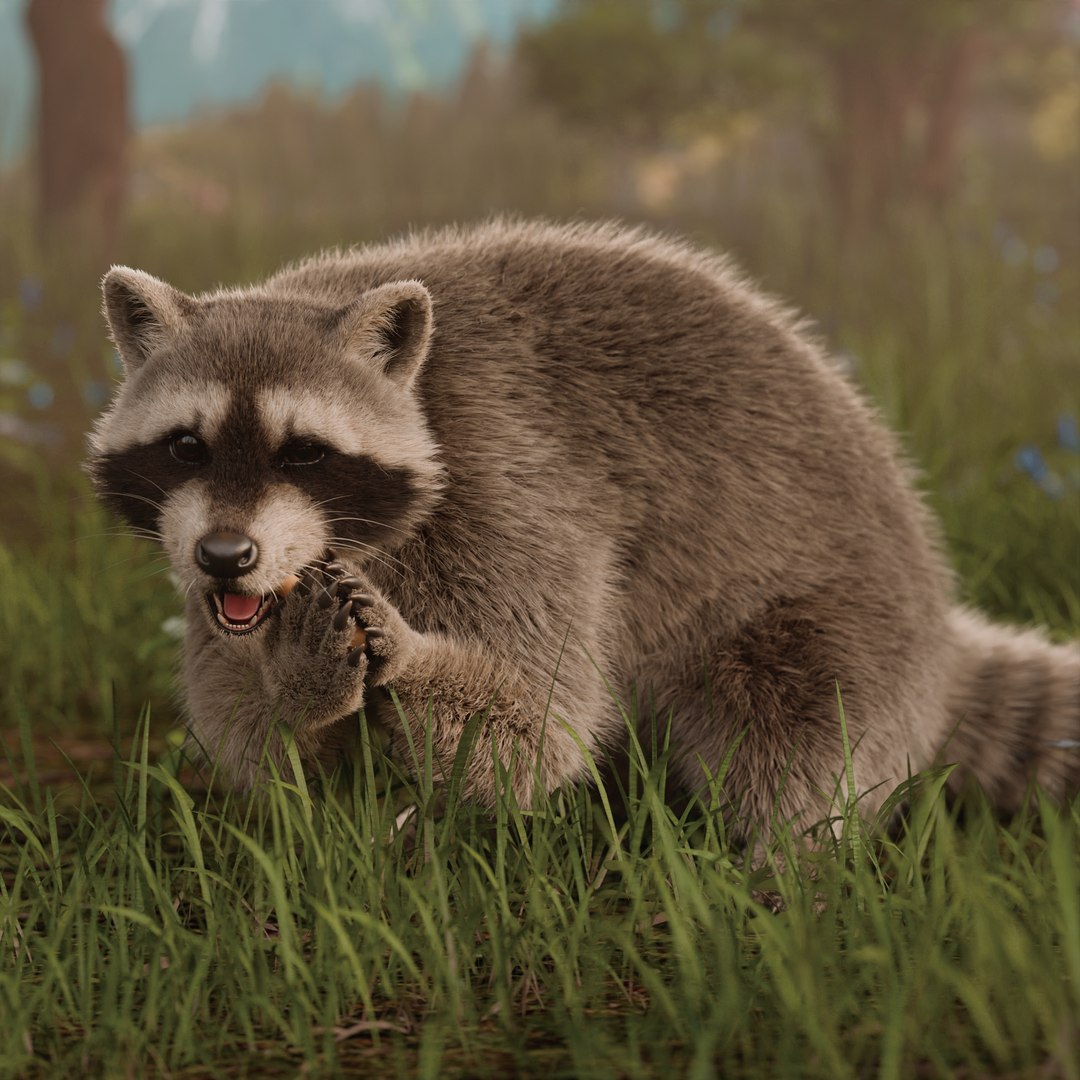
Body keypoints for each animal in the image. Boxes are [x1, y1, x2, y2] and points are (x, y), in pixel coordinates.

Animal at [87, 220, 1080, 832]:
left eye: (304, 454)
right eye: (185, 446)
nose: (227, 556)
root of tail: (937, 622)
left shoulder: (515, 480)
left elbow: (538, 727)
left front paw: (413, 656)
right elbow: (254, 742)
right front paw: (295, 687)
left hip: (841, 606)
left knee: (802, 727)